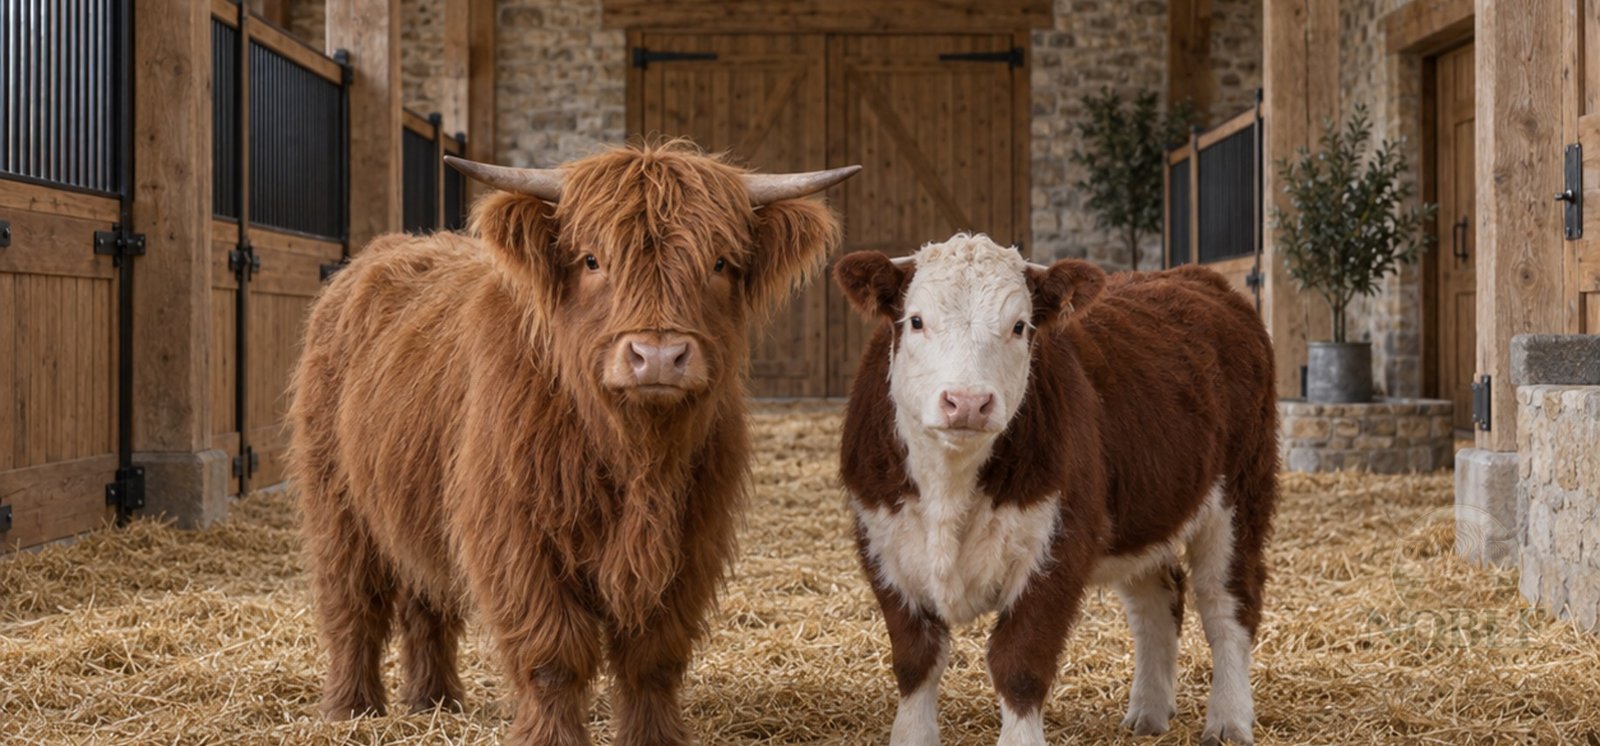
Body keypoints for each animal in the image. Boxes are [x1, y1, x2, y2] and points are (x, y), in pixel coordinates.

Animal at [287, 141, 857, 745]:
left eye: (720, 263)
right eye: (591, 260)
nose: (658, 357)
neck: (635, 455)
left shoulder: (690, 540)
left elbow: (652, 658)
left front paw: (654, 738)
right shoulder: (517, 537)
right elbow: (553, 654)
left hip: (416, 500)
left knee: (427, 599)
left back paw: (433, 702)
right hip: (337, 502)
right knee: (352, 603)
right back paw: (353, 709)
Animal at [834, 233, 1278, 746]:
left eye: (1019, 326)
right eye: (917, 320)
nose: (967, 402)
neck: (949, 485)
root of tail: (1193, 276)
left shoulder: (1058, 549)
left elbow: (1020, 663)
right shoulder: (883, 546)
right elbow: (915, 661)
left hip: (1239, 498)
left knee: (1228, 605)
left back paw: (1228, 720)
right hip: (1140, 514)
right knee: (1157, 601)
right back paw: (1149, 712)